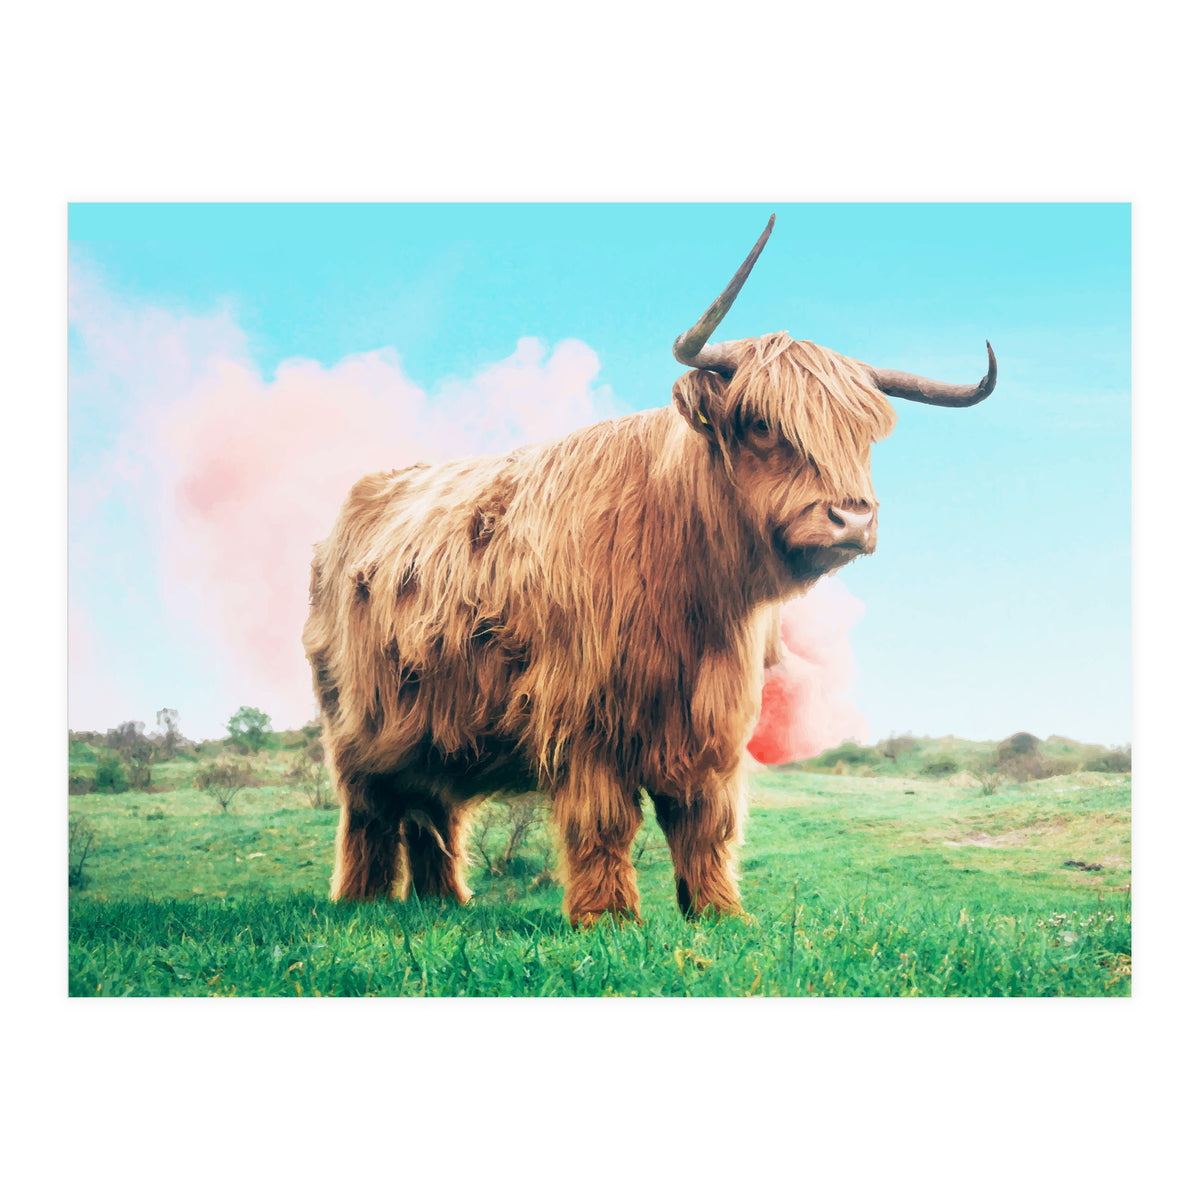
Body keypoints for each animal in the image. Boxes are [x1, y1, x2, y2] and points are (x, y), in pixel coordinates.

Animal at [302, 215, 996, 926]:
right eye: (761, 423)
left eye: (862, 436)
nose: (852, 519)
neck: (691, 593)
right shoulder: (584, 715)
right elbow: (604, 821)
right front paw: (608, 918)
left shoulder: (713, 722)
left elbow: (705, 822)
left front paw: (719, 913)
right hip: (357, 725)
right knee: (370, 811)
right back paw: (361, 902)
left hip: (432, 726)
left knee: (431, 809)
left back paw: (444, 903)